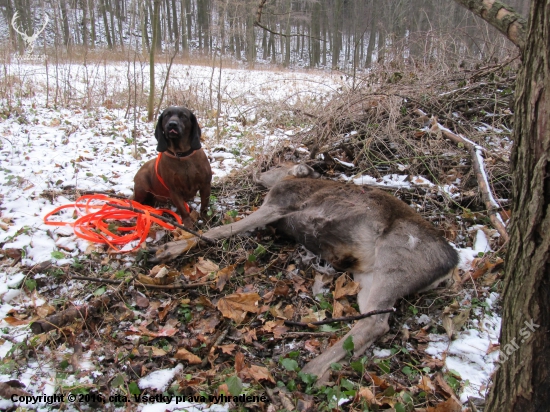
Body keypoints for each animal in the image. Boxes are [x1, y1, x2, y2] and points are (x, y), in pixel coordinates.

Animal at [154, 163, 458, 380]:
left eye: (278, 165)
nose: (258, 170)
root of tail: (451, 264)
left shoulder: (278, 204)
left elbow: (221, 230)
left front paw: (169, 248)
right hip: (366, 277)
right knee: (372, 323)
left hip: (394, 262)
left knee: (377, 321)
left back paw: (310, 369)